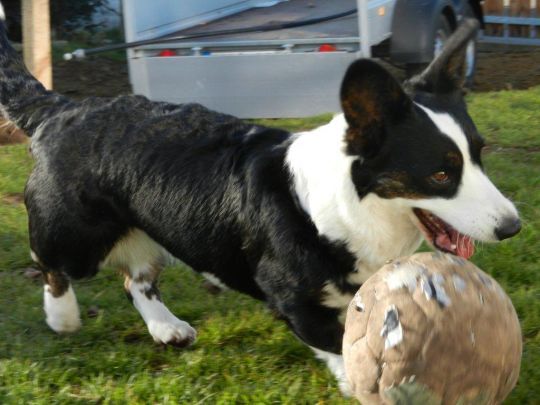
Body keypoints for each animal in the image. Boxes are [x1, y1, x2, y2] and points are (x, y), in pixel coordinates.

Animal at [0, 12, 520, 393]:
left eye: (479, 154)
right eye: (441, 174)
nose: (512, 227)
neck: (352, 207)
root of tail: (62, 108)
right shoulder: (294, 301)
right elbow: (344, 347)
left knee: (137, 280)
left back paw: (167, 328)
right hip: (75, 236)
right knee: (52, 264)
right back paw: (63, 318)